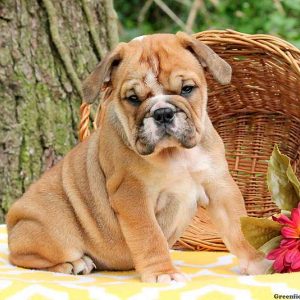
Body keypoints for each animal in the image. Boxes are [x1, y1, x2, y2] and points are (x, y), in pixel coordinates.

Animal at [6, 32, 270, 282]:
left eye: (186, 89)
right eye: (133, 99)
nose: (162, 112)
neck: (175, 153)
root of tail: (12, 220)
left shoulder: (219, 188)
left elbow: (238, 227)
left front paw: (258, 262)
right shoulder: (133, 197)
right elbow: (150, 236)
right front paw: (164, 272)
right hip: (52, 232)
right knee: (23, 257)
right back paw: (73, 264)